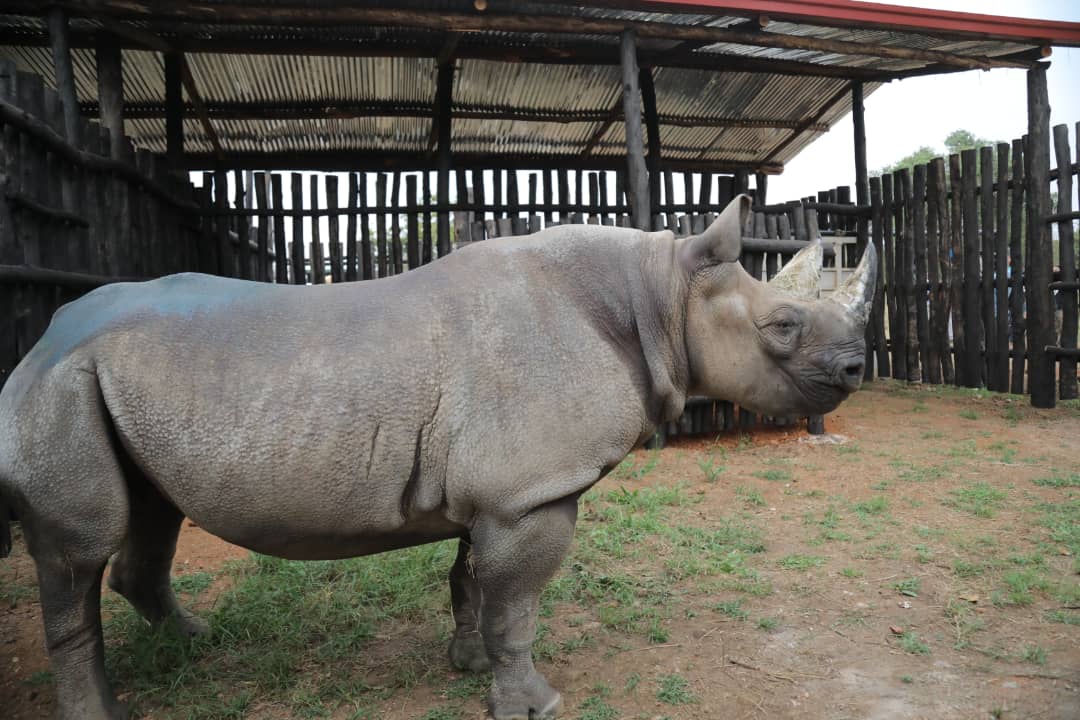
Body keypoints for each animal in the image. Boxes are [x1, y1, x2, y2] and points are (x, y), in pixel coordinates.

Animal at [0, 194, 874, 720]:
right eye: (783, 327)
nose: (858, 367)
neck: (655, 297)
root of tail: (38, 342)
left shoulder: (500, 490)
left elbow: (472, 583)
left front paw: (465, 663)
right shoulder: (532, 491)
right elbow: (517, 603)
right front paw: (533, 703)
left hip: (112, 384)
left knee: (152, 512)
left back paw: (195, 642)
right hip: (57, 389)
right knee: (79, 552)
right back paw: (106, 707)